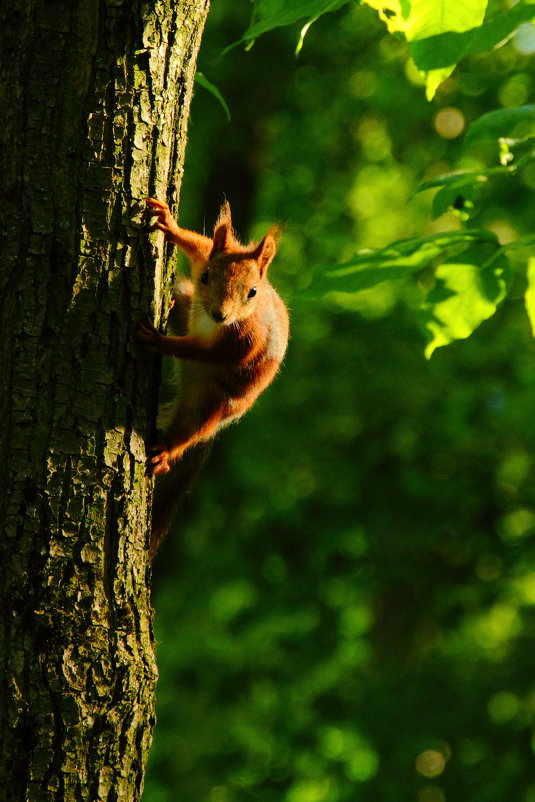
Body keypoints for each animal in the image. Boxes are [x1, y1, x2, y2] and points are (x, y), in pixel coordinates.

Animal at [138, 200, 288, 552]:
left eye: (252, 292)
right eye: (206, 276)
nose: (220, 314)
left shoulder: (244, 343)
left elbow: (204, 352)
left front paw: (160, 342)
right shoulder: (206, 255)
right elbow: (198, 243)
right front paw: (167, 221)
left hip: (211, 401)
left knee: (190, 428)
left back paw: (165, 451)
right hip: (185, 303)